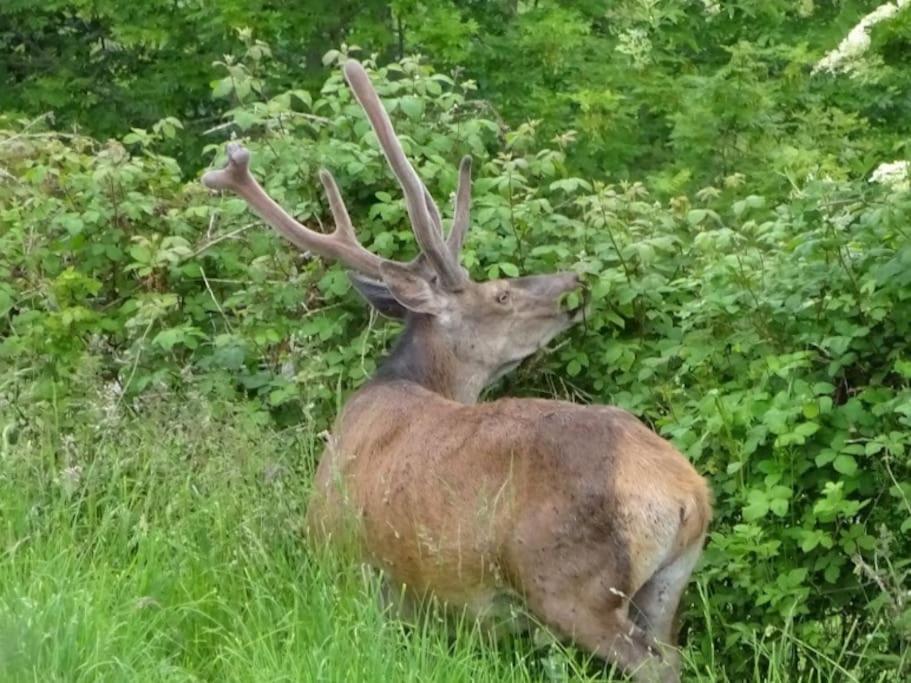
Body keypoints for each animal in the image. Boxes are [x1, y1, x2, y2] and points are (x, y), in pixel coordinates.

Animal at [205, 60, 712, 683]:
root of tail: (688, 492)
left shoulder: (354, 574)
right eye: (500, 293)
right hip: (667, 586)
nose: (576, 281)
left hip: (571, 585)